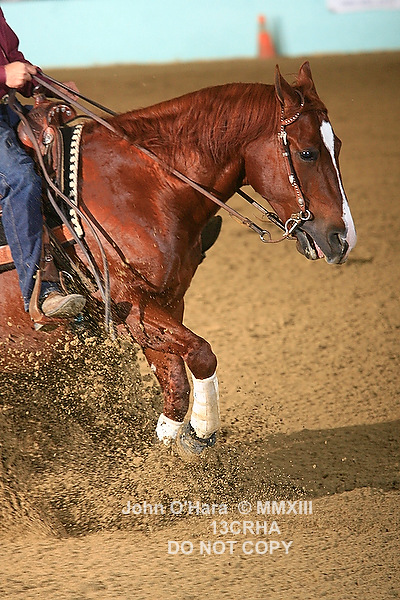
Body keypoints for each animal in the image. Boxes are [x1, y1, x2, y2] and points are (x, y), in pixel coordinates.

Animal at [0, 62, 356, 459]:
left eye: (338, 145)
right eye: (308, 153)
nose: (342, 238)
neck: (144, 186)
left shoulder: (164, 303)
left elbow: (175, 384)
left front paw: (168, 449)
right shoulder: (131, 302)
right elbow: (202, 353)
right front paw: (199, 433)